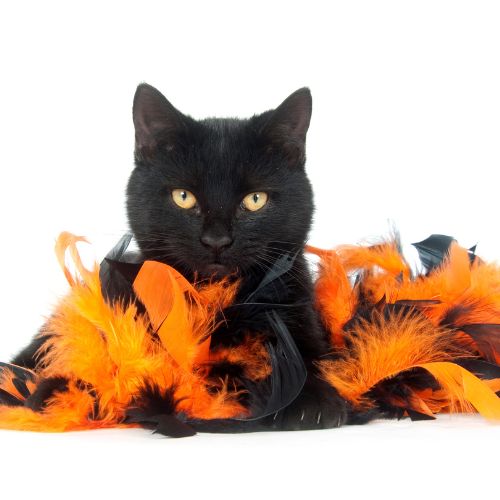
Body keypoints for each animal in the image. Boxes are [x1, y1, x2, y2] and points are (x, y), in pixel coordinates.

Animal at [11, 84, 348, 432]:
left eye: (256, 199)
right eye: (183, 197)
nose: (216, 240)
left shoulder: (296, 311)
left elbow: (305, 357)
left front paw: (311, 399)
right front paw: (63, 392)